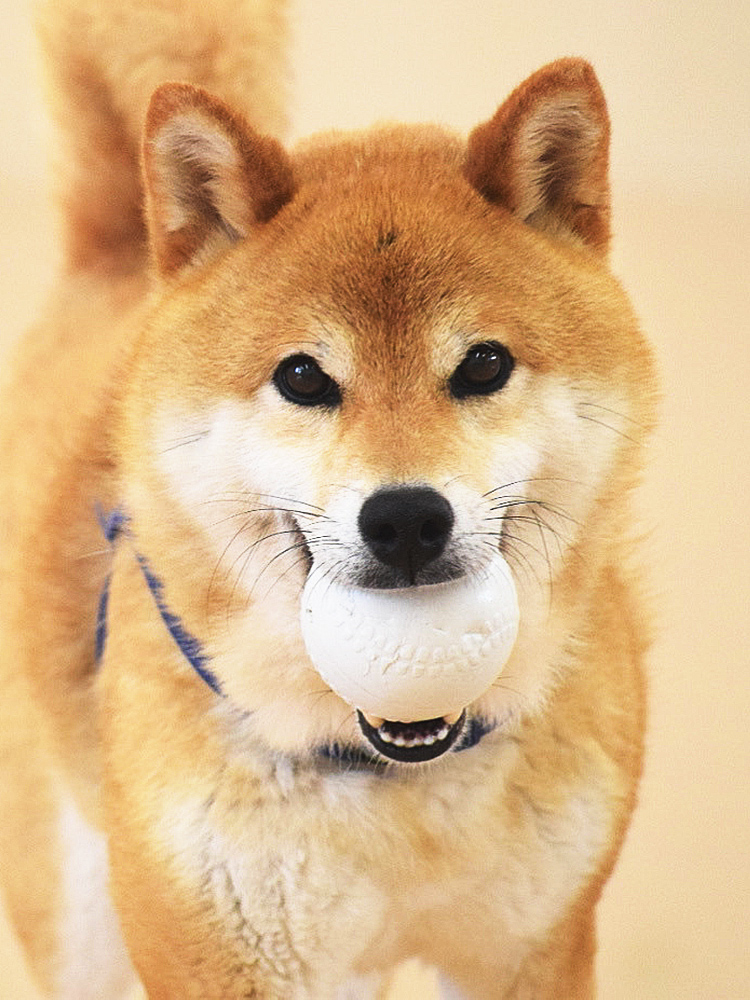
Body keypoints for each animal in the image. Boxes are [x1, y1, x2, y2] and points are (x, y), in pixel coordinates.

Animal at [0, 0, 656, 996]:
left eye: (484, 364)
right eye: (303, 377)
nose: (407, 518)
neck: (399, 772)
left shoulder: (534, 950)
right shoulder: (230, 958)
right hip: (84, 927)